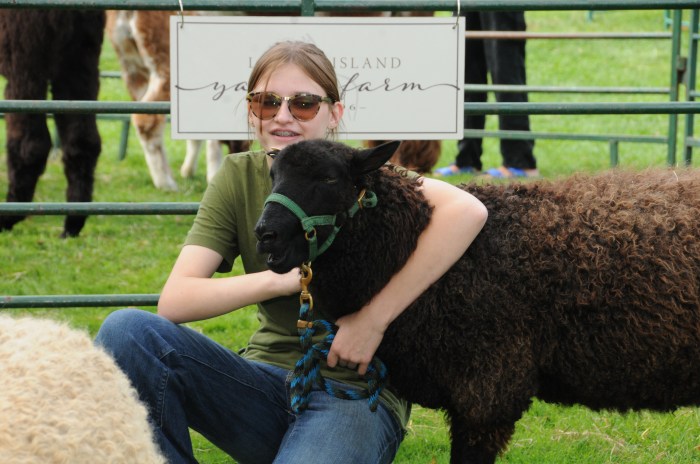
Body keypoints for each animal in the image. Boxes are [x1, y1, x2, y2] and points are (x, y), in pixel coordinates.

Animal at [0, 9, 104, 237]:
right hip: (80, 58)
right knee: (83, 141)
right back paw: (72, 223)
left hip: (25, 55)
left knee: (31, 144)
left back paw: (8, 217)